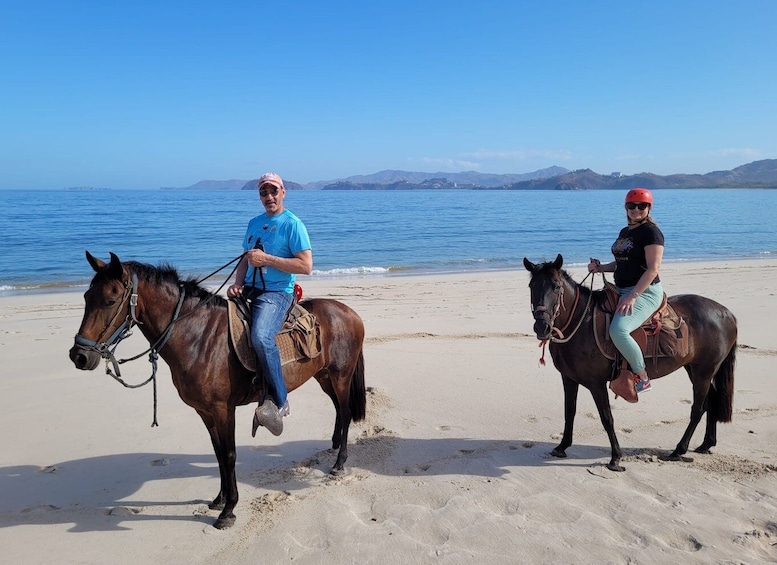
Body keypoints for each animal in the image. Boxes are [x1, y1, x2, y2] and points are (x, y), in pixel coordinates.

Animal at [69, 251, 366, 528]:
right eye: (86, 297)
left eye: (110, 300)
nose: (79, 356)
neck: (198, 337)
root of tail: (350, 313)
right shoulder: (205, 411)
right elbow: (219, 453)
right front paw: (220, 499)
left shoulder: (223, 409)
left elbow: (230, 453)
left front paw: (229, 509)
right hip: (324, 376)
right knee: (338, 409)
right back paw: (334, 445)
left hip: (340, 376)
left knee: (346, 411)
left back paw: (339, 463)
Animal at [520, 256, 732, 472]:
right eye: (532, 285)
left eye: (556, 286)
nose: (542, 327)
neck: (580, 322)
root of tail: (726, 313)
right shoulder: (569, 378)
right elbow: (569, 411)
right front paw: (562, 446)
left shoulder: (596, 383)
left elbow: (606, 417)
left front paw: (615, 458)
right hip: (695, 370)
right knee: (711, 401)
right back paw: (706, 444)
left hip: (703, 372)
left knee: (697, 408)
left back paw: (678, 450)